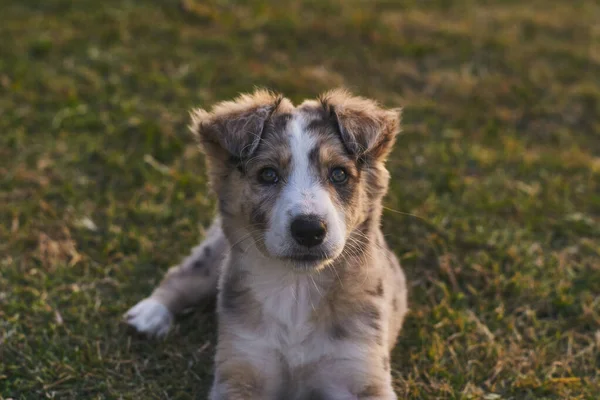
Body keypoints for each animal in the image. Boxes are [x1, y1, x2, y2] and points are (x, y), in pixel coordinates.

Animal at [125, 89, 410, 398]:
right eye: (268, 174)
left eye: (339, 174)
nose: (309, 230)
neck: (297, 289)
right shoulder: (241, 364)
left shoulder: (360, 369)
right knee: (184, 273)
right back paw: (150, 313)